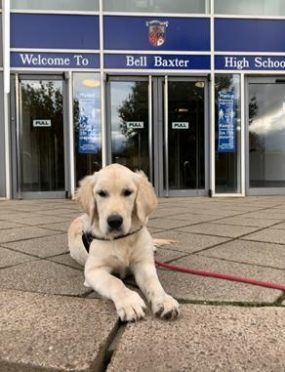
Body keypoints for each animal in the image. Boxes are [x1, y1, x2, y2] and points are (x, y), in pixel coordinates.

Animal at [68, 164, 179, 322]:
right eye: (101, 193)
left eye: (127, 192)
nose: (114, 221)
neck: (122, 239)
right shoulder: (93, 270)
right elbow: (115, 282)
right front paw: (129, 302)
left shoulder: (143, 264)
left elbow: (153, 282)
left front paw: (164, 300)